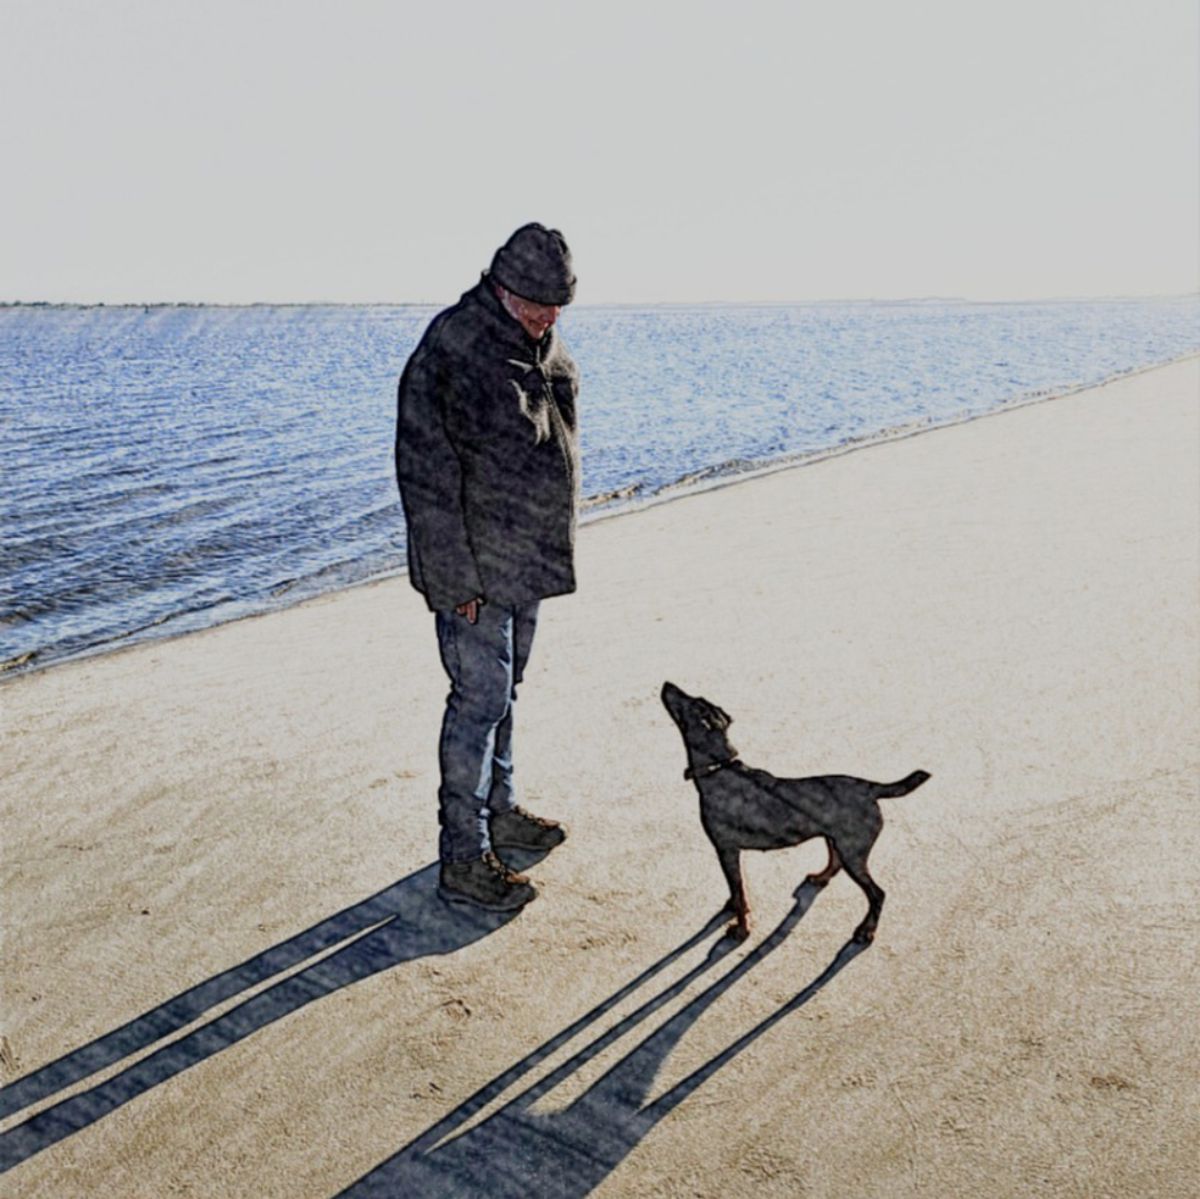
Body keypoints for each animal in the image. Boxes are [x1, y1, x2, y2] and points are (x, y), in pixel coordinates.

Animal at [657, 686, 926, 945]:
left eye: (688, 701)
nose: (667, 684)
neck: (717, 768)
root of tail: (871, 788)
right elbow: (736, 892)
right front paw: (732, 907)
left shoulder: (727, 850)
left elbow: (739, 892)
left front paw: (741, 930)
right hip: (837, 840)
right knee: (835, 862)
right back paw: (820, 878)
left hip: (854, 852)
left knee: (877, 893)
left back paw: (866, 931)